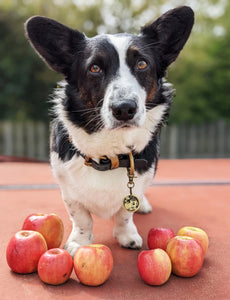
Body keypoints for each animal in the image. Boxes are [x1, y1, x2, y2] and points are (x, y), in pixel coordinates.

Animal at [25, 6, 194, 255]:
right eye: (95, 68)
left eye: (142, 64)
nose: (124, 109)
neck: (109, 155)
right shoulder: (68, 189)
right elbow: (81, 217)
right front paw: (80, 242)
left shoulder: (139, 178)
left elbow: (125, 212)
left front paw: (127, 235)